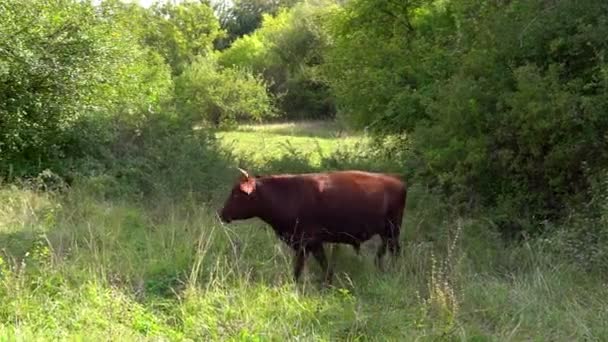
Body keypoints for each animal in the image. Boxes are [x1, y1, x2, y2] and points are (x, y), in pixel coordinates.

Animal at [218, 168, 408, 284]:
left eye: (236, 194)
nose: (222, 214)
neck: (287, 195)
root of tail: (397, 180)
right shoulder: (313, 244)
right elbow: (323, 264)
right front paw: (327, 282)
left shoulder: (306, 242)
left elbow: (300, 267)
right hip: (386, 232)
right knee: (385, 249)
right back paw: (379, 266)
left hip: (393, 230)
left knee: (395, 250)